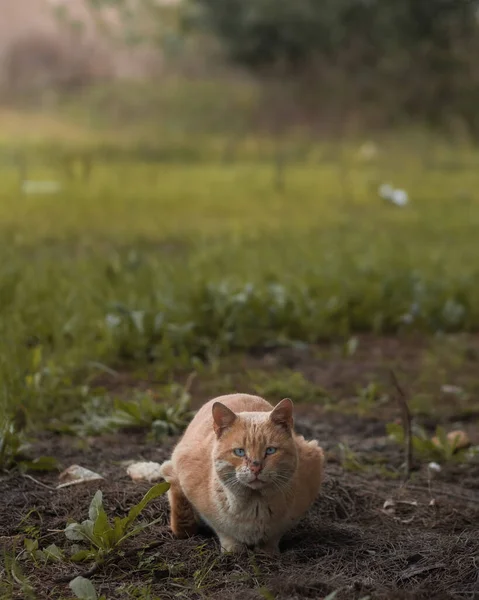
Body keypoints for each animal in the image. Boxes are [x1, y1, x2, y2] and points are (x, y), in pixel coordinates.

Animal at [159, 394, 324, 552]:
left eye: (270, 450)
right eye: (239, 452)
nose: (256, 467)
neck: (256, 507)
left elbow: (273, 537)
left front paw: (268, 552)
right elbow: (224, 531)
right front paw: (233, 551)